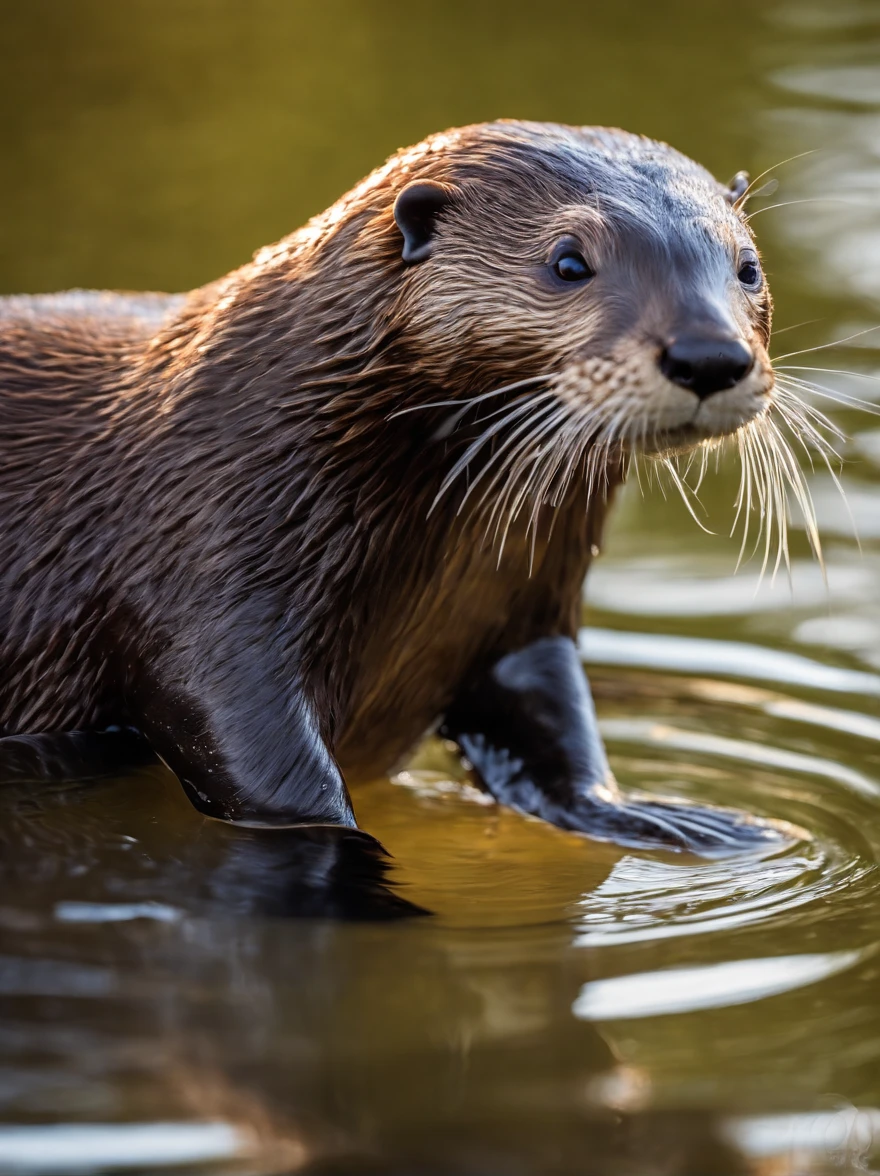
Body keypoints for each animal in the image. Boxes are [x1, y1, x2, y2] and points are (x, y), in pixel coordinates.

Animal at [0, 121, 800, 874]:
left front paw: (666, 820)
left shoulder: (524, 613)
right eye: (568, 261)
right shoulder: (202, 569)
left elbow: (553, 725)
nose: (708, 355)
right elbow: (258, 763)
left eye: (748, 267)